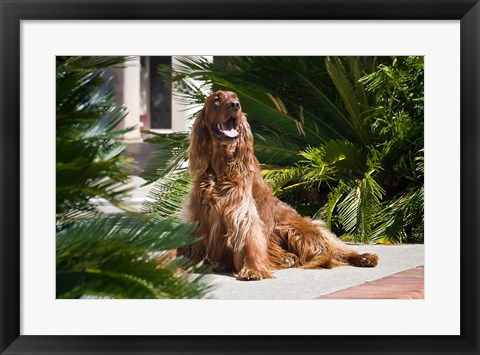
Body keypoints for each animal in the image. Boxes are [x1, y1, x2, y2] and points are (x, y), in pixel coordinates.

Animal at [180, 91, 378, 280]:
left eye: (236, 98)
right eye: (216, 99)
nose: (235, 105)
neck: (221, 169)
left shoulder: (242, 212)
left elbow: (249, 238)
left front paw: (253, 269)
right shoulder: (199, 216)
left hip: (296, 228)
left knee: (335, 249)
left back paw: (365, 257)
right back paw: (288, 258)